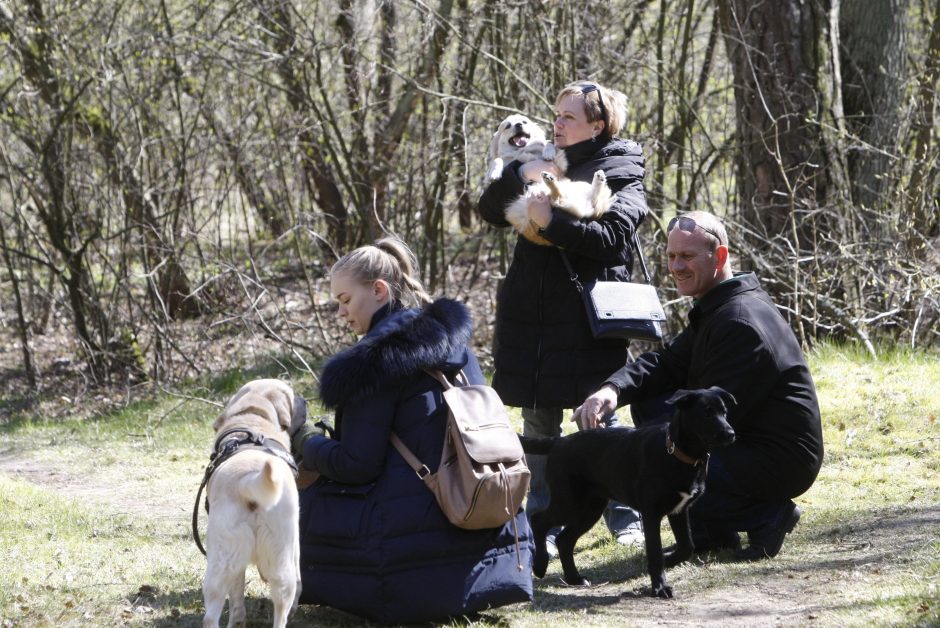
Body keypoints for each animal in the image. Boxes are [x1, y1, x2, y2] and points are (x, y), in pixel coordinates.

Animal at [203, 378, 302, 628]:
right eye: (293, 396)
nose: (304, 400)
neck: (253, 420)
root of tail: (248, 480)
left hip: (221, 562)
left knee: (213, 614)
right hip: (280, 559)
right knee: (281, 610)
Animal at [520, 388, 736, 600]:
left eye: (724, 412)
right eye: (706, 413)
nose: (731, 433)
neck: (676, 453)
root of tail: (559, 442)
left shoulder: (678, 510)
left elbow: (686, 546)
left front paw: (669, 560)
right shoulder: (651, 513)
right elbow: (655, 553)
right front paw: (660, 588)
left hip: (591, 508)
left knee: (564, 539)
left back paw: (574, 578)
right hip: (570, 502)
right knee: (538, 520)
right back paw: (540, 566)